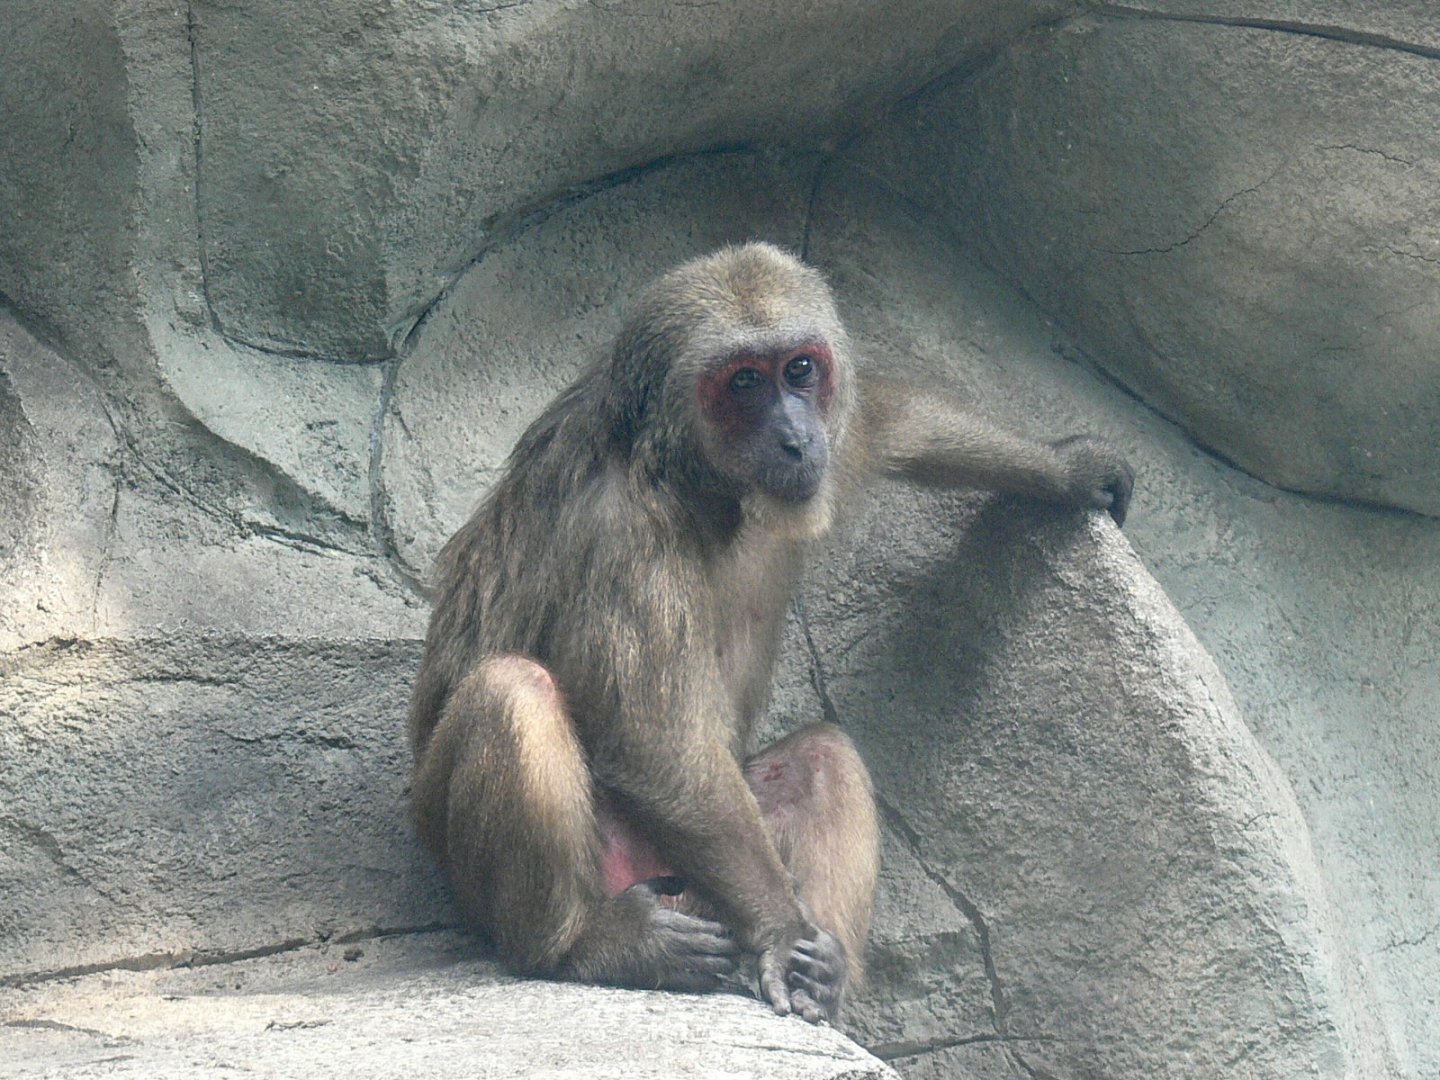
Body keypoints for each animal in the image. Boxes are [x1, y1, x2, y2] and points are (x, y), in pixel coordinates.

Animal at [407, 242, 1133, 1024]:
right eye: (745, 382)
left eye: (800, 370)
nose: (792, 437)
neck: (695, 481)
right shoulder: (622, 533)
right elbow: (658, 745)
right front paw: (783, 931)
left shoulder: (830, 443)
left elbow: (887, 416)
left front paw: (1064, 466)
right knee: (511, 689)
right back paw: (577, 946)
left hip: (702, 883)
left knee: (821, 757)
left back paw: (827, 975)